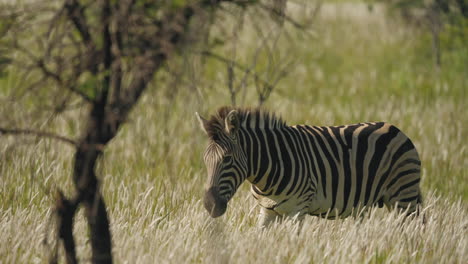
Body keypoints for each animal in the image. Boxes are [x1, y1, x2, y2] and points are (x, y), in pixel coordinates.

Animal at [196, 106, 422, 226]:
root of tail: (395, 128)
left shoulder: (298, 210)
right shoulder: (267, 211)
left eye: (227, 159)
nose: (210, 205)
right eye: (205, 160)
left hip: (404, 197)